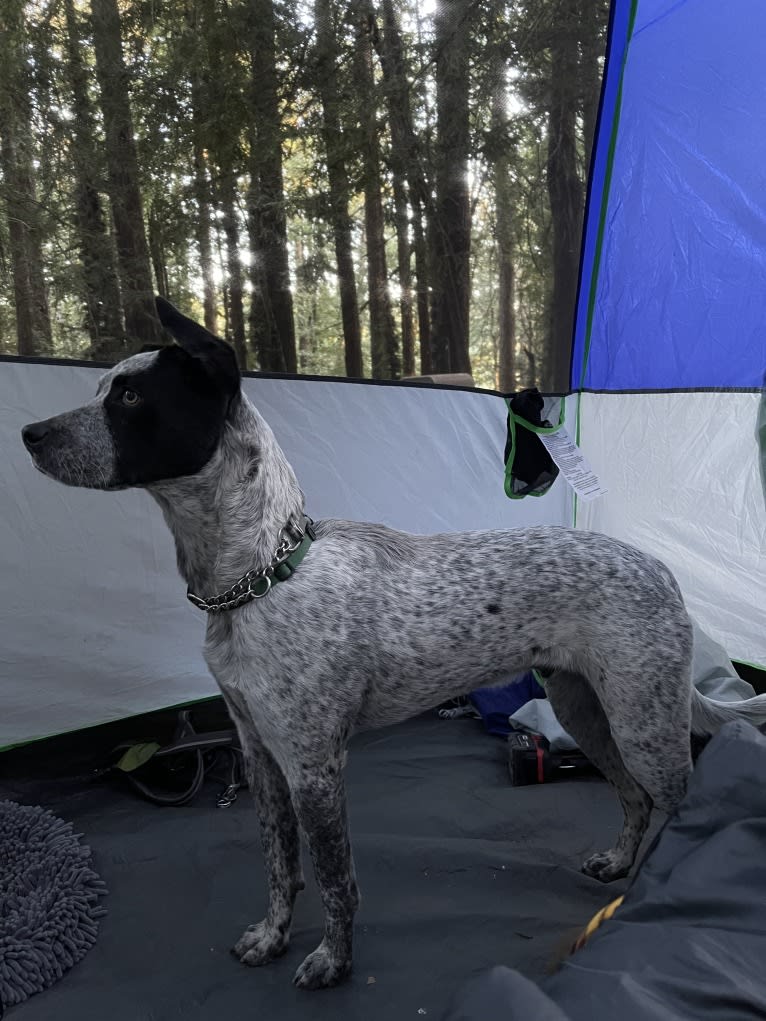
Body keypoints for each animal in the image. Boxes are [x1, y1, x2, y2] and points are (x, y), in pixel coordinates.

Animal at [20, 298, 766, 988]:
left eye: (130, 396)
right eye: (102, 387)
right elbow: (279, 867)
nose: (28, 432)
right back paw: (619, 867)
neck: (261, 576)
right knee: (635, 800)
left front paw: (333, 961)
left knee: (678, 805)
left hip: (643, 725)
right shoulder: (261, 755)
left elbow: (333, 878)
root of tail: (662, 570)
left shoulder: (315, 767)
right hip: (585, 710)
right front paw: (272, 935)